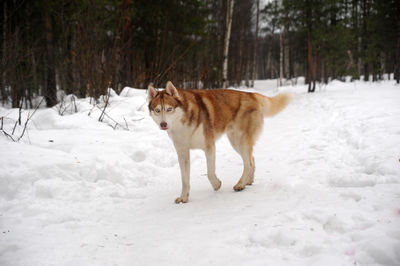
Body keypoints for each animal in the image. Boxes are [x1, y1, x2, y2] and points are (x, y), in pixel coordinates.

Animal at [148, 81, 292, 204]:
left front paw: (217, 185)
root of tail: (252, 94)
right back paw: (248, 181)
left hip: (241, 141)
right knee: (252, 159)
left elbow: (210, 172)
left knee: (249, 163)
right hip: (236, 142)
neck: (182, 124)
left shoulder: (209, 146)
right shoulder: (182, 152)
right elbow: (184, 179)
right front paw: (184, 197)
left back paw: (240, 184)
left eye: (169, 109)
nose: (163, 124)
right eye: (157, 110)